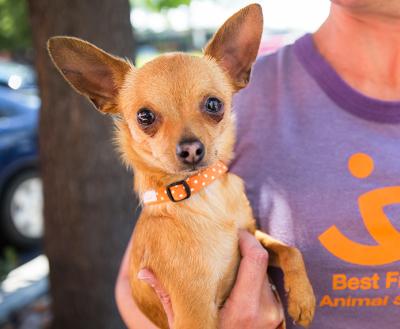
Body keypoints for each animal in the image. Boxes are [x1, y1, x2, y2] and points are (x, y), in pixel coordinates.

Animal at [47, 3, 316, 326]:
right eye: (145, 116)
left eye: (214, 105)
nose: (190, 149)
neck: (205, 197)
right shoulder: (194, 315)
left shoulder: (253, 235)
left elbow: (288, 248)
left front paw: (303, 298)